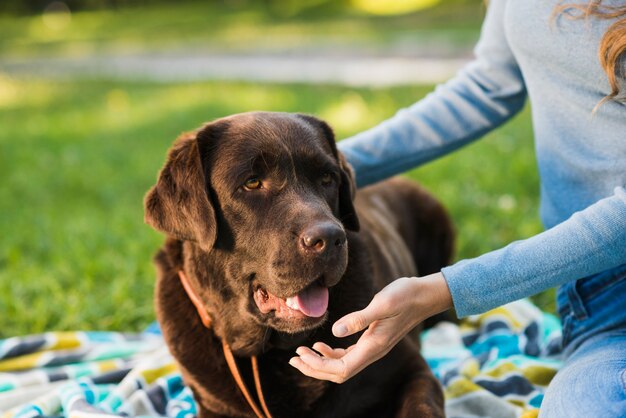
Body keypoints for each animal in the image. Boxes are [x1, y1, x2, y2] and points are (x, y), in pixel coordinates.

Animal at [144, 112, 450, 418]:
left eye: (327, 178)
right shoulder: (213, 407)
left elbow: (421, 408)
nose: (330, 237)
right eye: (252, 183)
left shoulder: (410, 369)